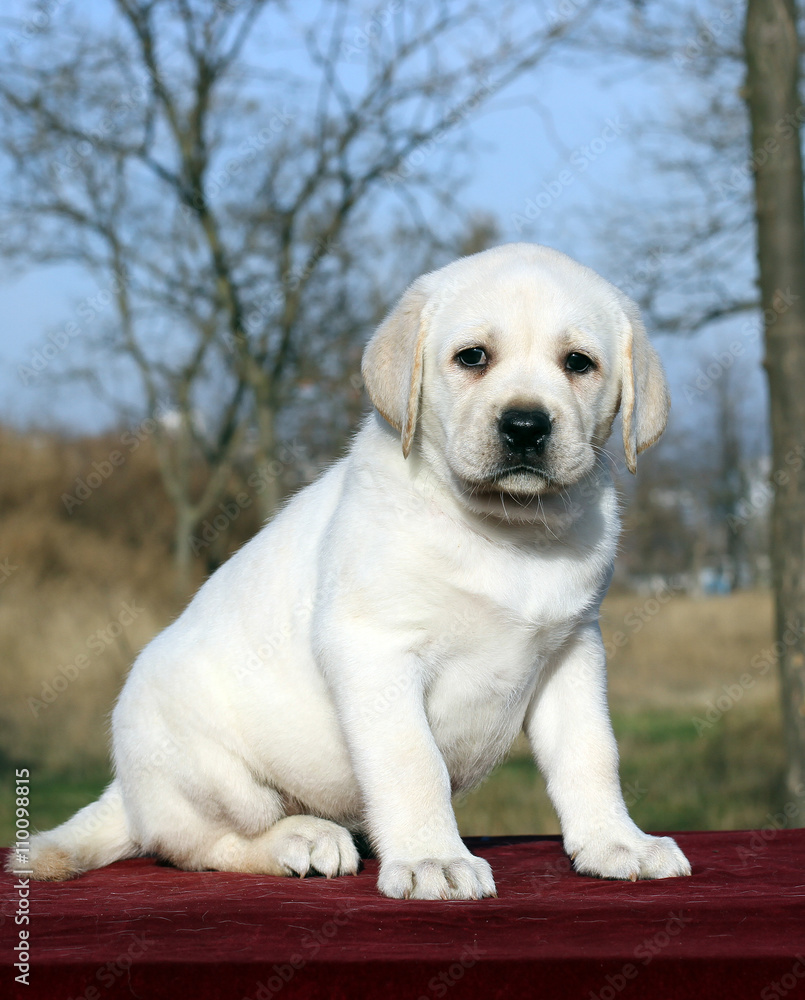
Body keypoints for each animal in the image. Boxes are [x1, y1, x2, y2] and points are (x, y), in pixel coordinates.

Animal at [23, 242, 692, 900]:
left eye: (579, 363)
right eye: (473, 357)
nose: (525, 426)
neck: (510, 534)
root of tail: (127, 795)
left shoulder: (571, 651)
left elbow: (591, 753)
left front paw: (616, 842)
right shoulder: (374, 649)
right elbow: (413, 761)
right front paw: (432, 858)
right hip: (212, 772)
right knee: (198, 846)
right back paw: (301, 838)